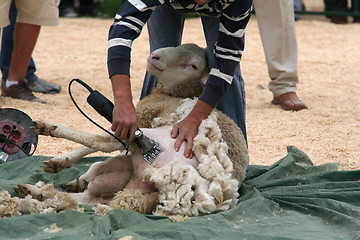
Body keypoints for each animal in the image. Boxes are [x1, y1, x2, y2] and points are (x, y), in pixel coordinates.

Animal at [10, 43, 248, 218]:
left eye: (193, 66)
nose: (155, 56)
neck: (172, 93)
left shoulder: (140, 117)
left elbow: (98, 141)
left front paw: (61, 160)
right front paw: (67, 169)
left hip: (156, 141)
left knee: (103, 143)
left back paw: (48, 128)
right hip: (126, 180)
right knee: (89, 197)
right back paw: (36, 192)